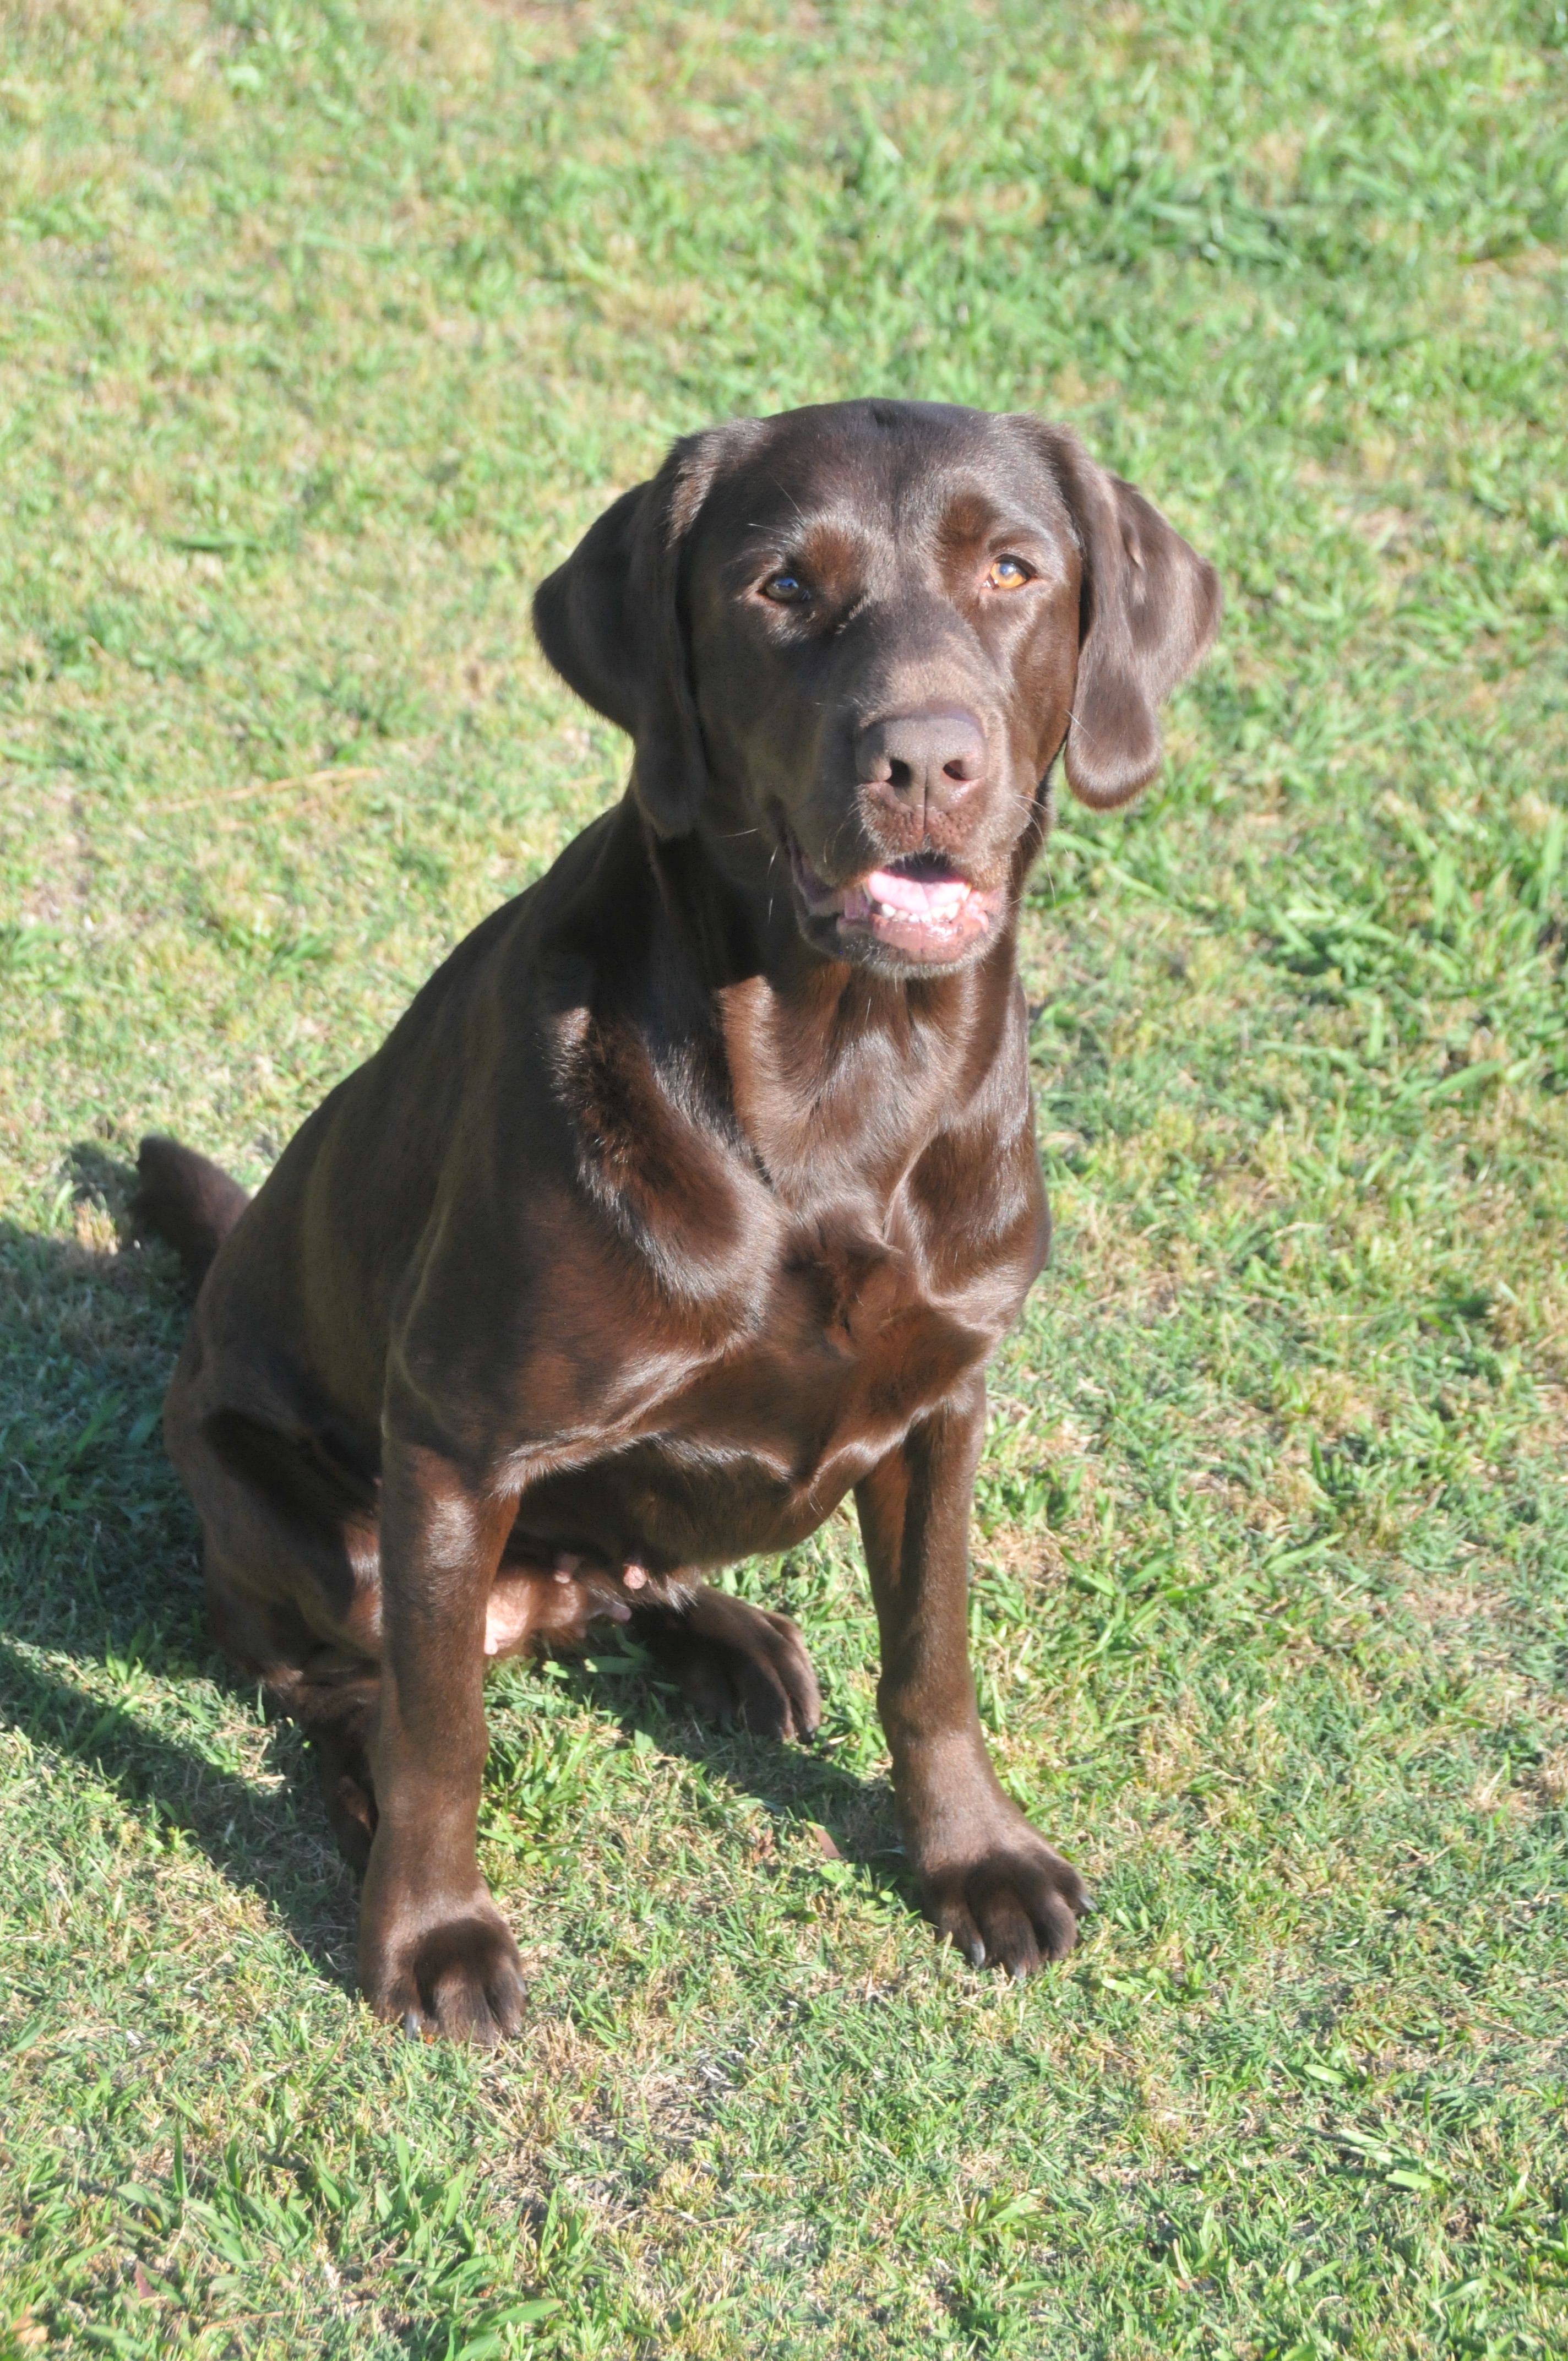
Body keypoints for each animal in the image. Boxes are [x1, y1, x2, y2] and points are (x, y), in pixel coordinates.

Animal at [137, 396, 1209, 2039]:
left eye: (1014, 569)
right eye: (781, 587)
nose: (926, 759)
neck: (843, 1078)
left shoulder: (943, 1404)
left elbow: (933, 1657)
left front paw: (974, 1855)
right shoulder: (452, 1440)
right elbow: (443, 1734)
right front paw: (429, 1933)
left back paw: (735, 1641)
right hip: (300, 1510)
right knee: (345, 1683)